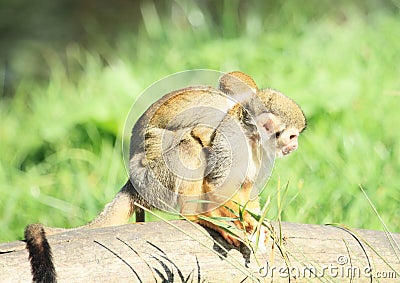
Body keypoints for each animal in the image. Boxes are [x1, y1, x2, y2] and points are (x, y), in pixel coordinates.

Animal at [25, 71, 306, 282]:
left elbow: (245, 187)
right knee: (190, 146)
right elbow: (217, 181)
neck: (253, 139)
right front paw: (245, 223)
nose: (294, 146)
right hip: (156, 179)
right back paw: (196, 215)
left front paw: (257, 221)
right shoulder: (232, 142)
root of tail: (134, 186)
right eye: (292, 135)